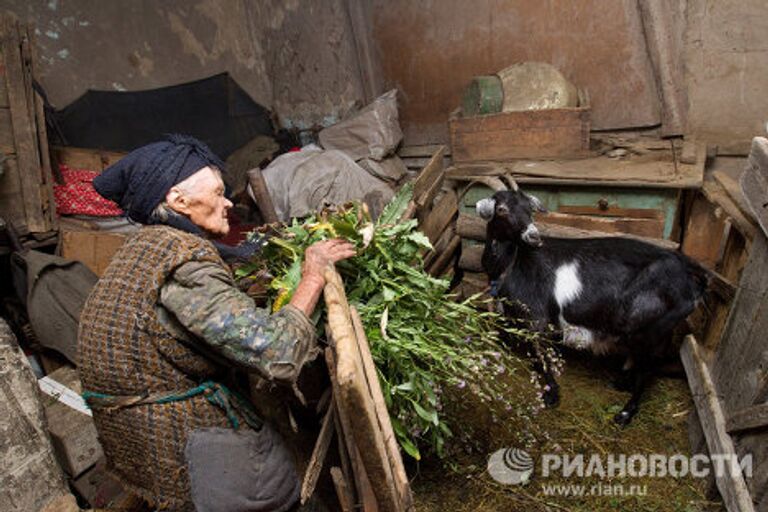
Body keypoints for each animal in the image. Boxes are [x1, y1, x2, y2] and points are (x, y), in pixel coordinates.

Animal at [480, 184, 708, 424]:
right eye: (502, 209)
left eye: (530, 209)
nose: (533, 236)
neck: (511, 263)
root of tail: (689, 272)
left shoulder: (536, 318)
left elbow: (541, 355)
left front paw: (551, 394)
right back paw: (621, 384)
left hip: (650, 328)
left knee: (647, 368)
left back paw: (625, 413)